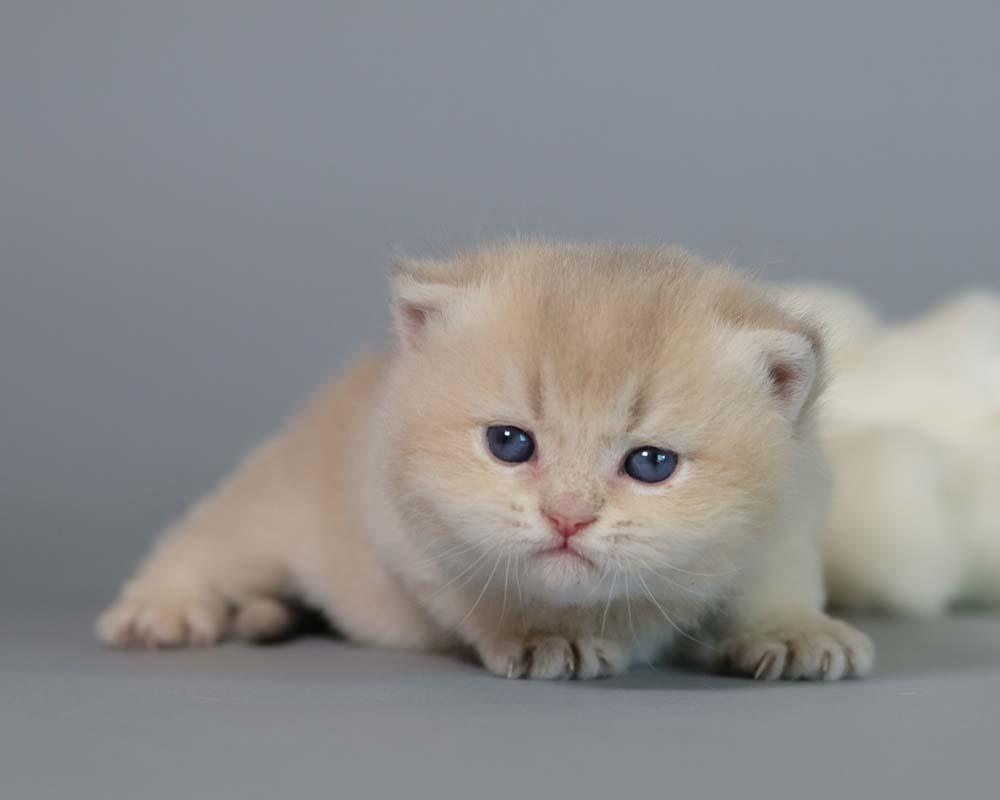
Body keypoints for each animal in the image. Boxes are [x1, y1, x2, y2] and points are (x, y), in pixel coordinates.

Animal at [95, 241, 876, 680]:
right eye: (510, 444)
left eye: (652, 463)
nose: (567, 518)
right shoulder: (404, 531)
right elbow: (491, 587)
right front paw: (545, 633)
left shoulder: (791, 513)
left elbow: (776, 580)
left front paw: (792, 631)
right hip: (266, 513)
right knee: (202, 541)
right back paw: (161, 609)